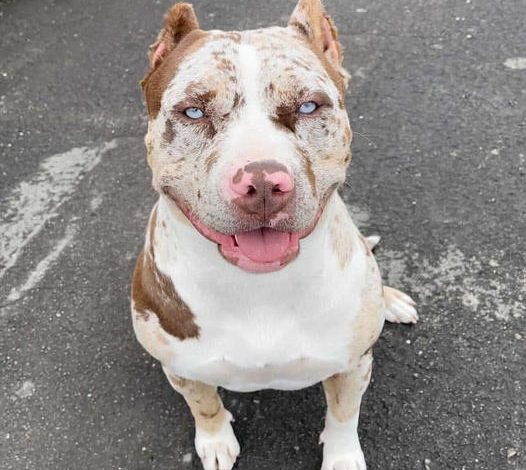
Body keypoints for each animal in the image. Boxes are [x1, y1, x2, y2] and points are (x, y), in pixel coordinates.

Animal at [133, 1, 420, 468]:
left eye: (308, 106)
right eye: (193, 112)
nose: (264, 184)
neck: (259, 288)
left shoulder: (353, 365)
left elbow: (344, 414)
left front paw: (342, 457)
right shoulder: (180, 369)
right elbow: (204, 405)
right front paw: (214, 440)